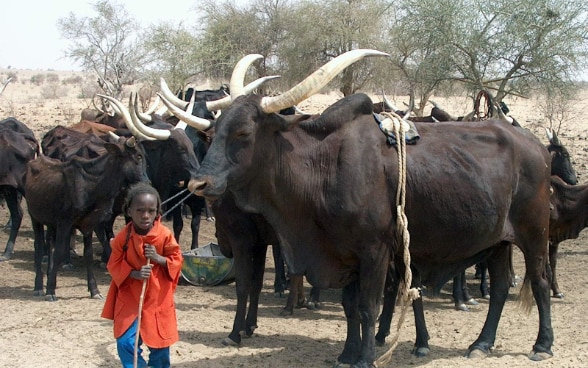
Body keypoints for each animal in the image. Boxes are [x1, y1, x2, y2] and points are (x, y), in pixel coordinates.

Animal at [26, 137, 148, 300]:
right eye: (138, 156)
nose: (148, 182)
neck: (94, 185)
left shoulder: (89, 224)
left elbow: (88, 255)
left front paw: (94, 290)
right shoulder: (65, 222)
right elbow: (59, 253)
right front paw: (50, 291)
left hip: (51, 222)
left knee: (49, 242)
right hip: (35, 217)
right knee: (39, 247)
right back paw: (39, 286)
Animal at [189, 50, 556, 366]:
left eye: (243, 132)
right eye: (215, 130)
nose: (198, 184)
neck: (324, 166)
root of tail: (536, 145)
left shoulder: (374, 252)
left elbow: (367, 307)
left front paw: (365, 358)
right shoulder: (345, 254)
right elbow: (350, 307)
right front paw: (347, 354)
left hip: (534, 234)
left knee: (538, 282)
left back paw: (542, 345)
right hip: (497, 242)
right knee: (499, 289)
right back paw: (481, 343)